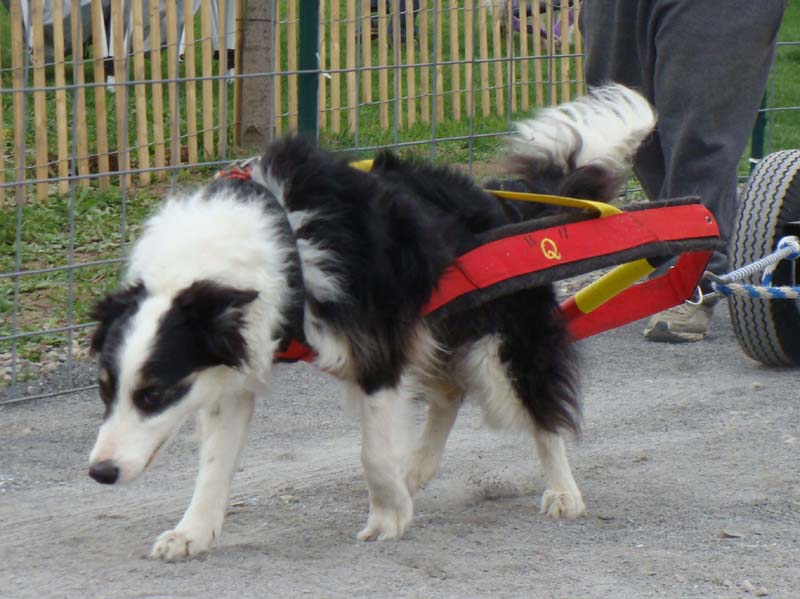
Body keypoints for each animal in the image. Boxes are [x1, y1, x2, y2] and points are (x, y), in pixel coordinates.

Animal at [87, 85, 656, 564]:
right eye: (104, 389)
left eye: (155, 393)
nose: (100, 473)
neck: (280, 239)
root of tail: (505, 202)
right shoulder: (234, 360)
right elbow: (215, 461)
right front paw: (193, 531)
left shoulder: (378, 347)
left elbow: (373, 451)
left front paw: (388, 516)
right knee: (449, 392)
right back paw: (417, 468)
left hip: (502, 345)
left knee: (539, 406)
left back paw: (563, 490)